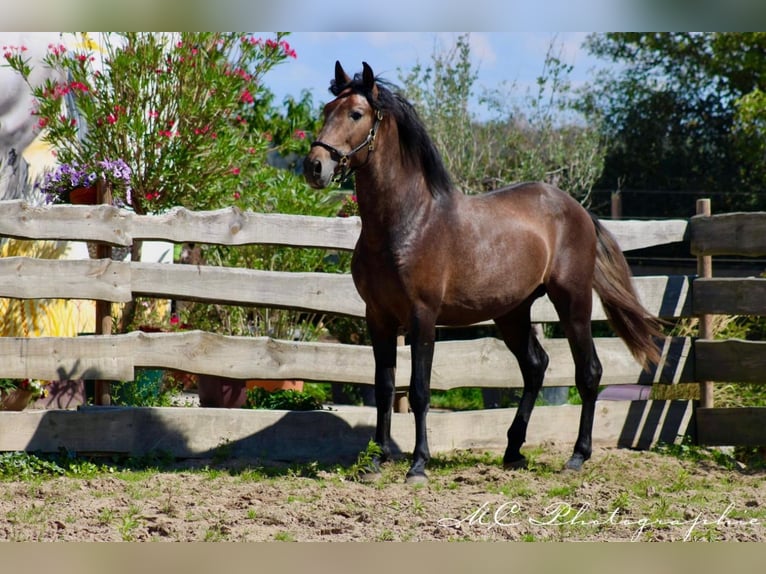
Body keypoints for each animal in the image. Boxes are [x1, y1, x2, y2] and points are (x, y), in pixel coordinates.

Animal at [304, 62, 664, 486]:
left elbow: (420, 390)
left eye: (356, 114)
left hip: (572, 303)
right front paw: (376, 461)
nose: (314, 166)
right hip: (512, 313)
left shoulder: (422, 317)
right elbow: (384, 387)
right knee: (536, 367)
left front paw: (418, 464)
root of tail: (578, 210)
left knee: (588, 372)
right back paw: (512, 451)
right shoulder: (377, 317)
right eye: (328, 110)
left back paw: (577, 456)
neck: (408, 222)